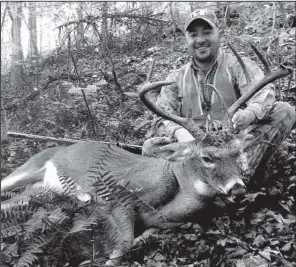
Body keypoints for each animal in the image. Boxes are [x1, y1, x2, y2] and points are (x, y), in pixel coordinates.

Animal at [0, 44, 292, 266]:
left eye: (237, 152)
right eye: (207, 158)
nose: (238, 188)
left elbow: (144, 236)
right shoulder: (114, 193)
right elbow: (125, 242)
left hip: (39, 190)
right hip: (30, 167)